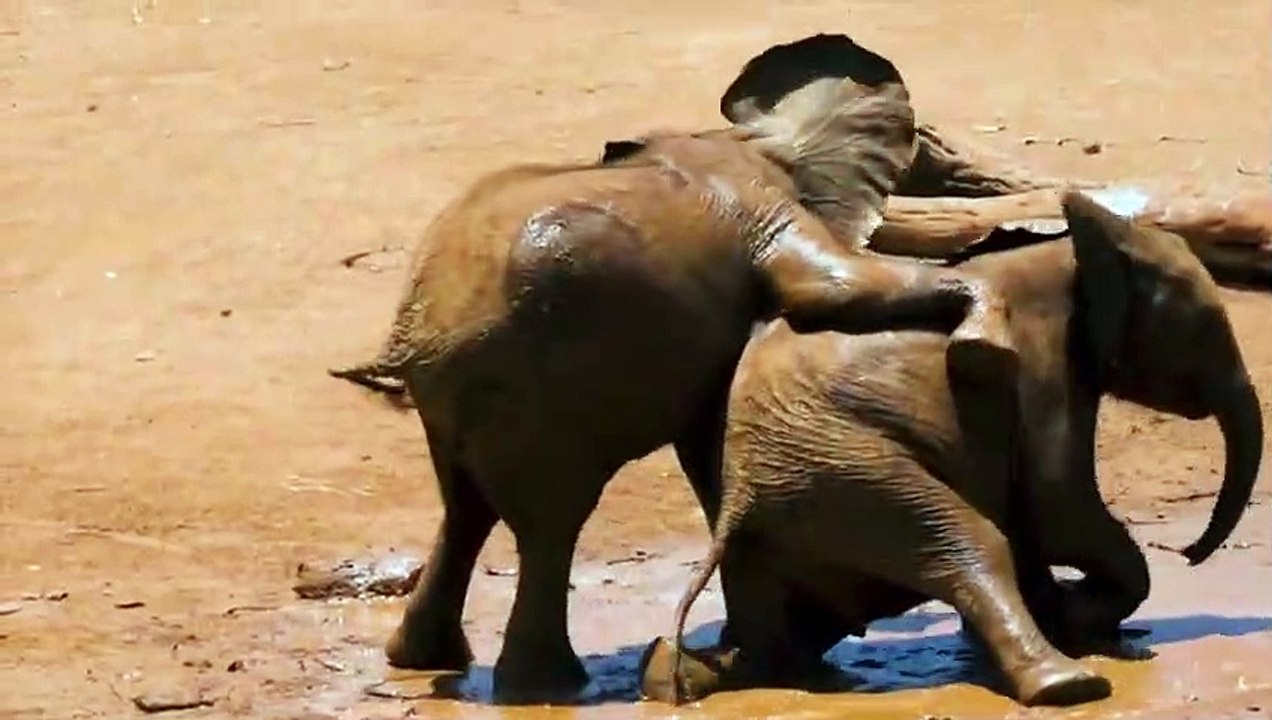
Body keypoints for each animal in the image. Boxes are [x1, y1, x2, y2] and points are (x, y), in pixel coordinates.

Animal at [331, 34, 1021, 703]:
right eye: (927, 150)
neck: (749, 136)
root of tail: (415, 335)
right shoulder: (759, 202)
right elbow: (835, 288)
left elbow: (708, 441)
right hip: (534, 392)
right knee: (550, 524)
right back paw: (549, 687)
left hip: (463, 399)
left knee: (466, 509)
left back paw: (427, 662)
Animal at [640, 190, 1264, 707]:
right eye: (1204, 325)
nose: (1188, 553)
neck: (1079, 248)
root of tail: (742, 488)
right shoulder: (1044, 362)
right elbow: (1057, 508)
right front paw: (1081, 616)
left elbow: (1038, 516)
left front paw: (1072, 614)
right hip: (847, 470)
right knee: (972, 545)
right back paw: (1070, 686)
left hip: (788, 509)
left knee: (780, 630)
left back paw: (688, 679)